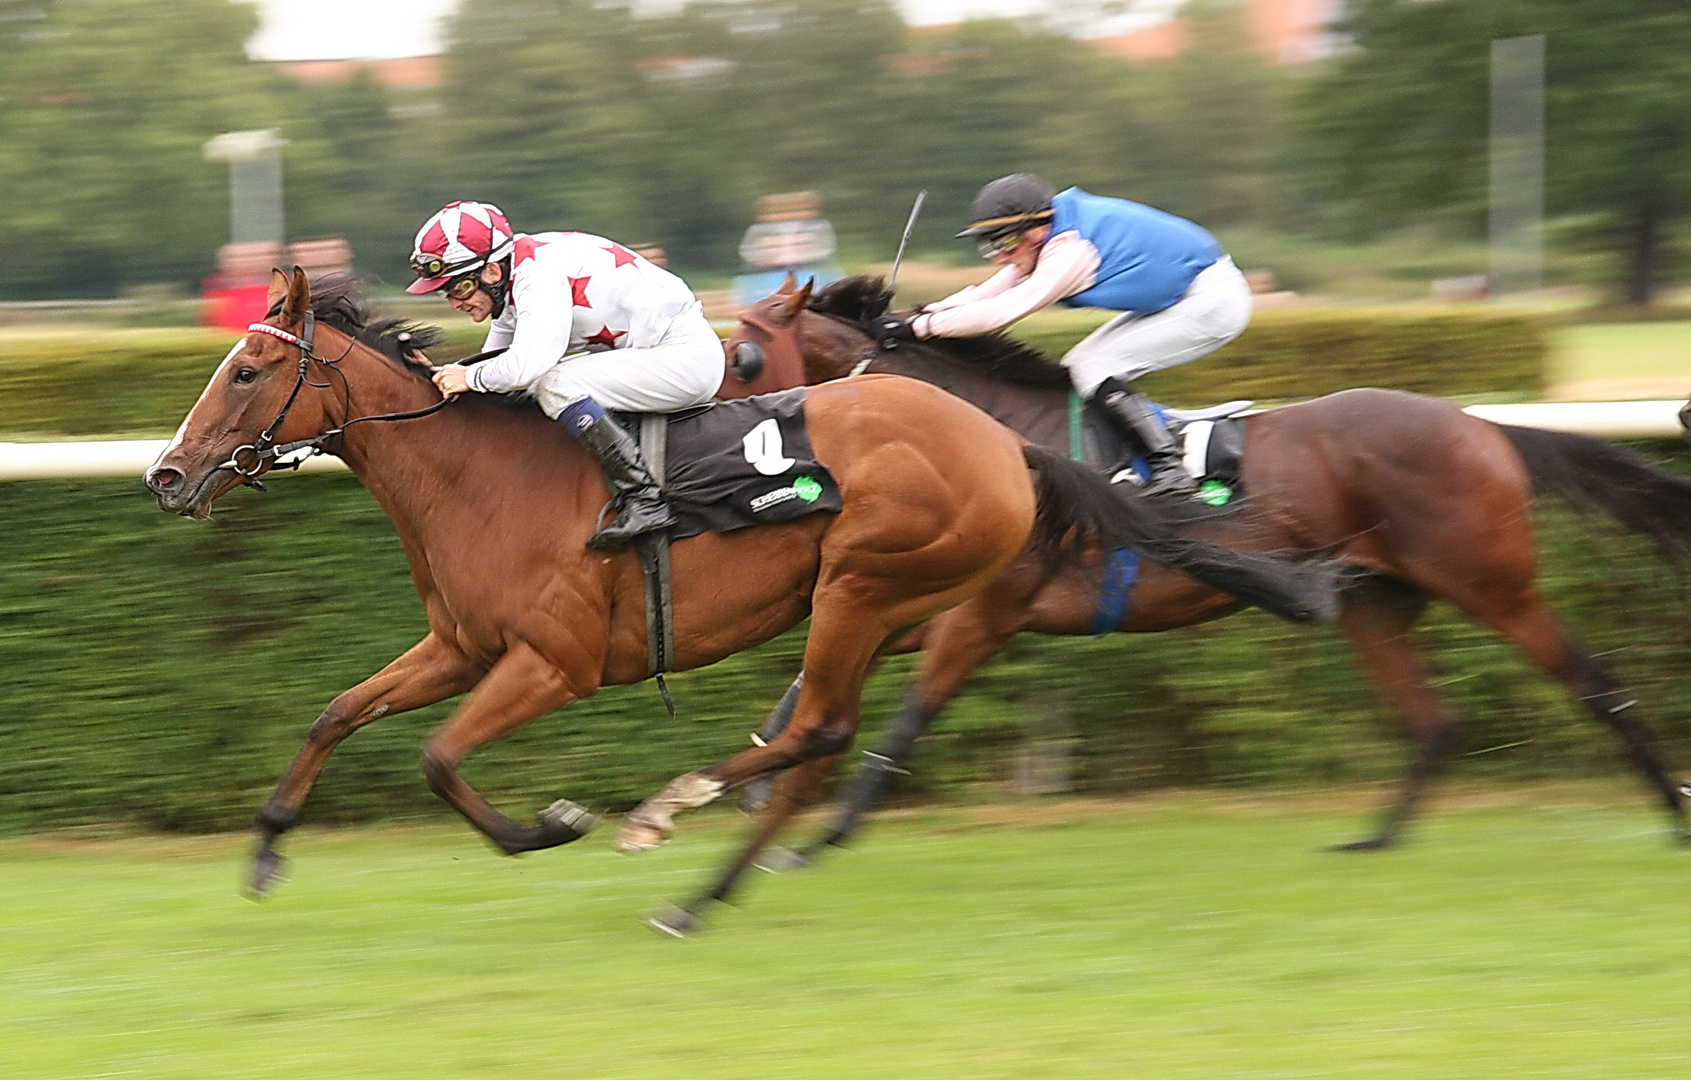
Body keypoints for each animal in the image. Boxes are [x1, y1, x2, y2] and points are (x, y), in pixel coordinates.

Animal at [145, 272, 1332, 939]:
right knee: (816, 737)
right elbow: (337, 712)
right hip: (890, 605)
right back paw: (706, 873)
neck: (481, 475)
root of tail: (1009, 445)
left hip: (862, 581)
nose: (165, 475)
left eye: (246, 371)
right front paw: (265, 850)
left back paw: (675, 828)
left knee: (819, 731)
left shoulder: (552, 665)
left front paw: (550, 825)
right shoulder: (460, 646)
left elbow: (438, 760)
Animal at [720, 273, 1691, 865]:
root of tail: (1484, 427)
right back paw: (1373, 842)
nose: (701, 430)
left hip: (1488, 580)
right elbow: (816, 680)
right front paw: (762, 771)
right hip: (1374, 602)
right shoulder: (933, 604)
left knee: (1594, 680)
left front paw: (816, 836)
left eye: (742, 355)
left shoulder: (982, 616)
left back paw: (1673, 812)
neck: (986, 438)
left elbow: (907, 722)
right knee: (1431, 720)